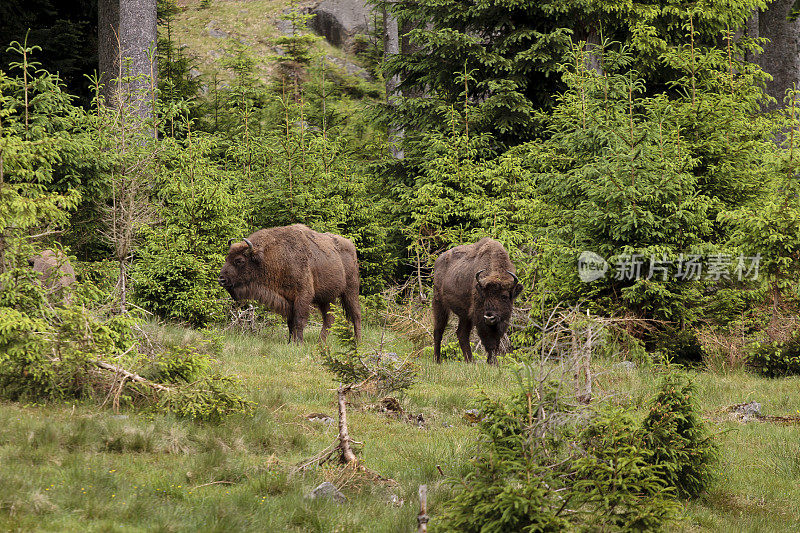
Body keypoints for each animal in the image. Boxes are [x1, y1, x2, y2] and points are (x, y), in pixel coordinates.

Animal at [216, 223, 360, 340]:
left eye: (239, 260)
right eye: (227, 258)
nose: (221, 279)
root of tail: (351, 246)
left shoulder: (303, 296)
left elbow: (299, 321)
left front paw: (299, 343)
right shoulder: (287, 299)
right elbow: (291, 323)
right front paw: (291, 342)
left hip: (350, 291)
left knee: (356, 315)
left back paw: (358, 342)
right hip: (327, 298)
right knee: (329, 320)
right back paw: (321, 342)